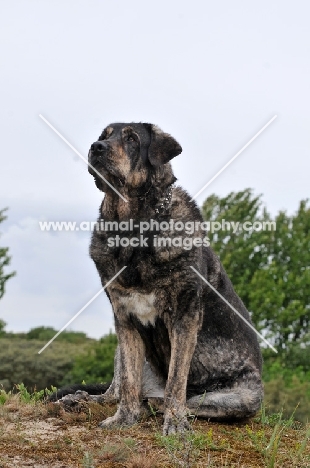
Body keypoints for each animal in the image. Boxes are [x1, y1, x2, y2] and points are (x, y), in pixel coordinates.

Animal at [49, 121, 262, 436]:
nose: (96, 147)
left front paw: (174, 424)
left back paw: (158, 407)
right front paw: (124, 419)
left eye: (131, 139)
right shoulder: (124, 318)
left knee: (188, 401)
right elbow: (128, 382)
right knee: (117, 391)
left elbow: (176, 382)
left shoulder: (184, 318)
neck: (131, 229)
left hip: (242, 397)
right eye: (104, 136)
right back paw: (80, 400)